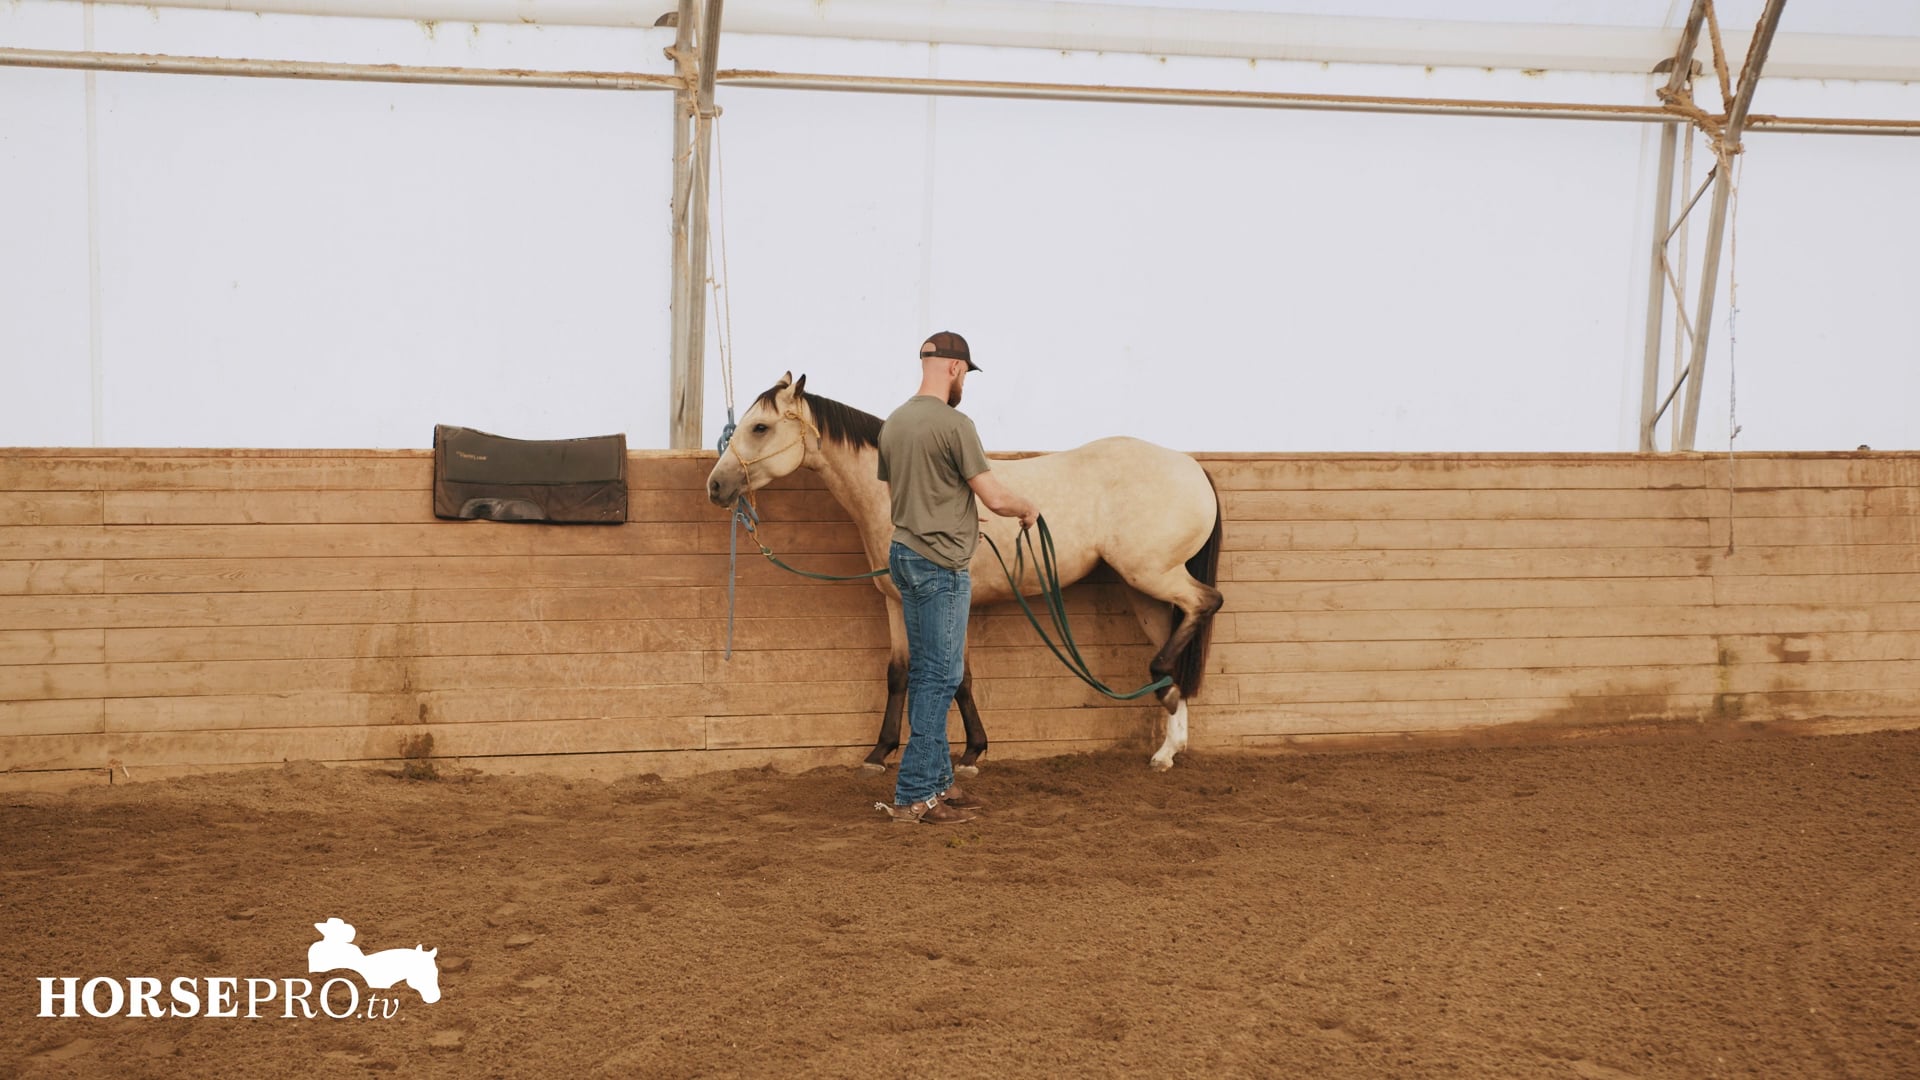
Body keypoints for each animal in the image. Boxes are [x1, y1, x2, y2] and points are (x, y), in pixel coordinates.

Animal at [706, 373, 1223, 771]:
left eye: (760, 426)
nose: (715, 485)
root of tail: (1189, 464)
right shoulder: (897, 602)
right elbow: (900, 674)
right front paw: (880, 752)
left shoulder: (953, 602)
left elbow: (957, 678)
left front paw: (972, 753)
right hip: (1145, 591)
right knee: (1175, 636)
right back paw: (1168, 745)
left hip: (1151, 576)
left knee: (1206, 603)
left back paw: (1163, 695)